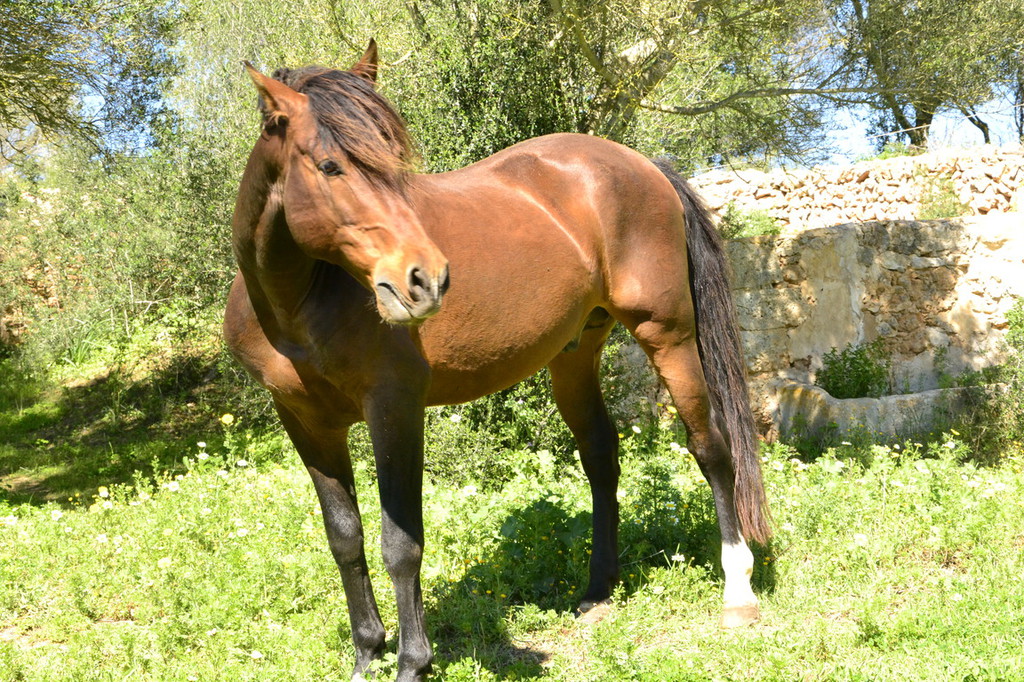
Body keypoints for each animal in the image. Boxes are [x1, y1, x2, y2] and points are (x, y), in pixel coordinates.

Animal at [224, 40, 770, 682]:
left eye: (396, 164)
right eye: (329, 167)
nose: (427, 279)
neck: (300, 302)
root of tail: (644, 165)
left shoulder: (394, 408)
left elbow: (400, 544)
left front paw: (412, 663)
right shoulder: (306, 422)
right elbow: (345, 540)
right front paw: (367, 654)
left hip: (669, 336)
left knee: (710, 447)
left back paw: (737, 593)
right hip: (574, 356)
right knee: (601, 456)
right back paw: (598, 590)